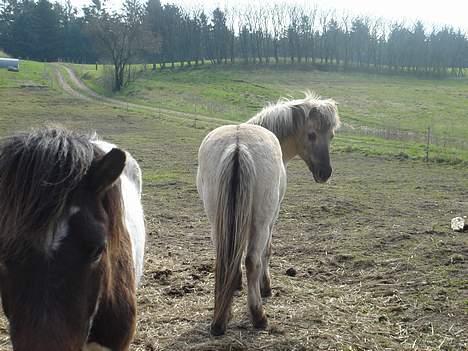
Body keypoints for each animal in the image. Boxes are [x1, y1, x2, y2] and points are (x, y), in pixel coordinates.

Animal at [197, 93, 340, 336]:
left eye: (330, 136)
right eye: (312, 135)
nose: (325, 173)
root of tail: (238, 146)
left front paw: (235, 284)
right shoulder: (271, 219)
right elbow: (266, 252)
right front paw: (265, 287)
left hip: (216, 222)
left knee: (223, 257)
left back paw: (220, 319)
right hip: (261, 223)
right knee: (253, 260)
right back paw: (259, 316)